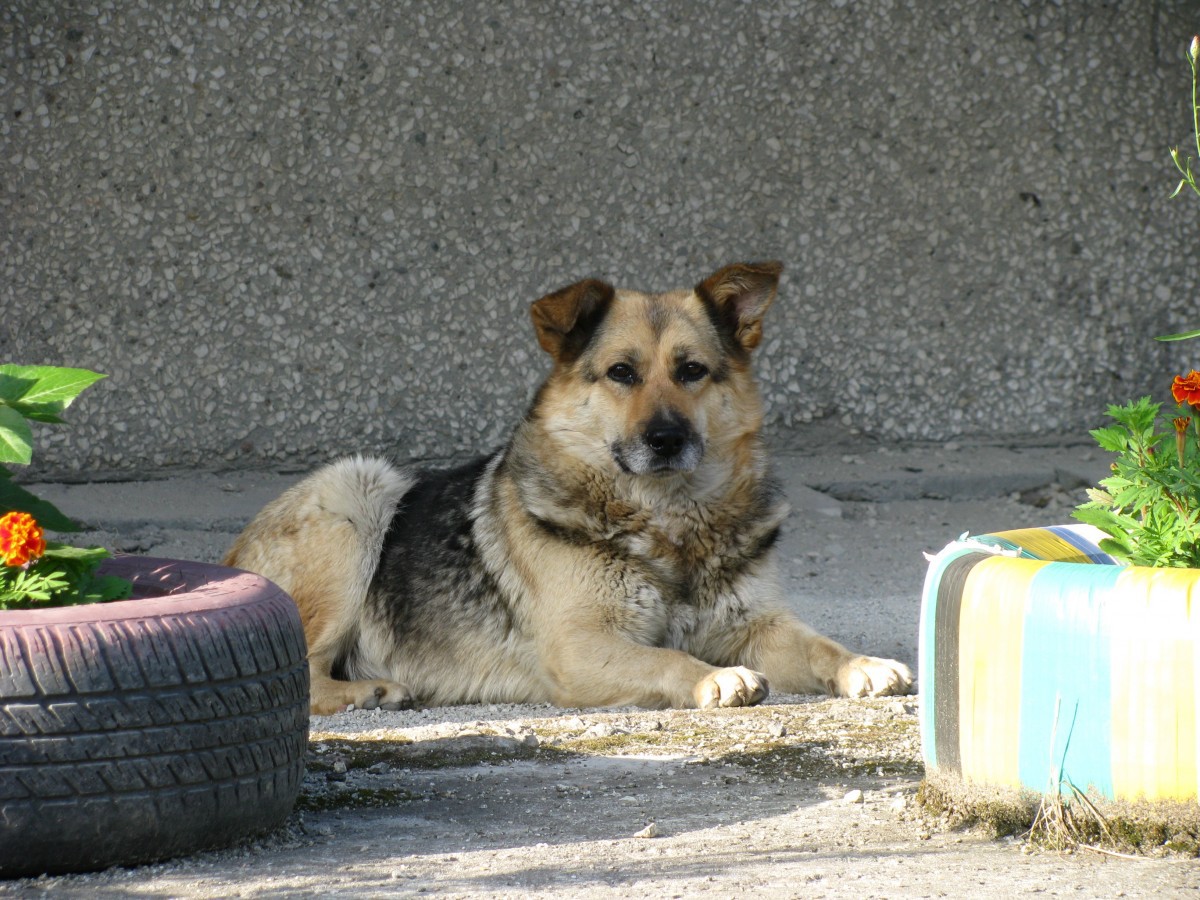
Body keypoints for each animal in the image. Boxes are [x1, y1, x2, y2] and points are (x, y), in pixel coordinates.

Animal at [225, 259, 907, 710]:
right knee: (300, 677)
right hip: (357, 487)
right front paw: (713, 677)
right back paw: (370, 690)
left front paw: (863, 664)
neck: (668, 520)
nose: (666, 440)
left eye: (692, 371)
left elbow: (821, 645)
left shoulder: (756, 624)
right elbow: (665, 655)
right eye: (621, 373)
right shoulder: (582, 647)